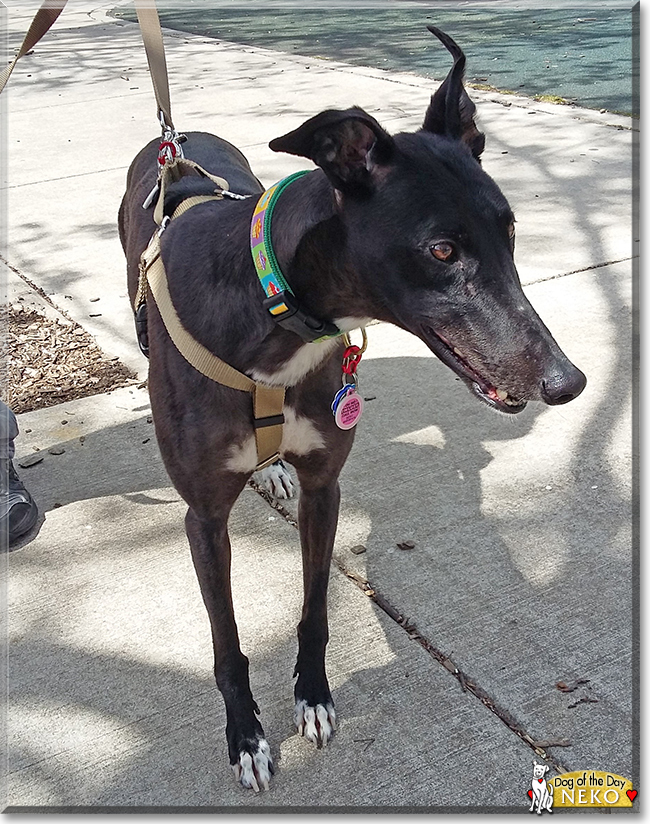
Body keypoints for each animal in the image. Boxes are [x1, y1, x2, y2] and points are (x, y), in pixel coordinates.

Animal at [119, 27, 584, 792]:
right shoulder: (203, 516)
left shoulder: (325, 487)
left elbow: (313, 607)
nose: (567, 382)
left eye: (511, 231)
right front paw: (246, 735)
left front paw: (312, 696)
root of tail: (178, 140)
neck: (273, 304)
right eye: (442, 249)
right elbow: (227, 640)